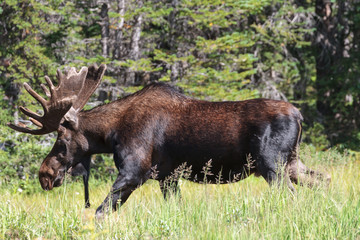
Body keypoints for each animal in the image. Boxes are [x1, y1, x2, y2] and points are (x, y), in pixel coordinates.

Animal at [7, 64, 330, 218]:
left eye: (61, 141)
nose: (44, 174)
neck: (110, 134)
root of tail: (300, 115)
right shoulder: (168, 177)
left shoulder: (134, 171)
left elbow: (101, 211)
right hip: (292, 162)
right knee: (323, 180)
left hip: (271, 165)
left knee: (292, 195)